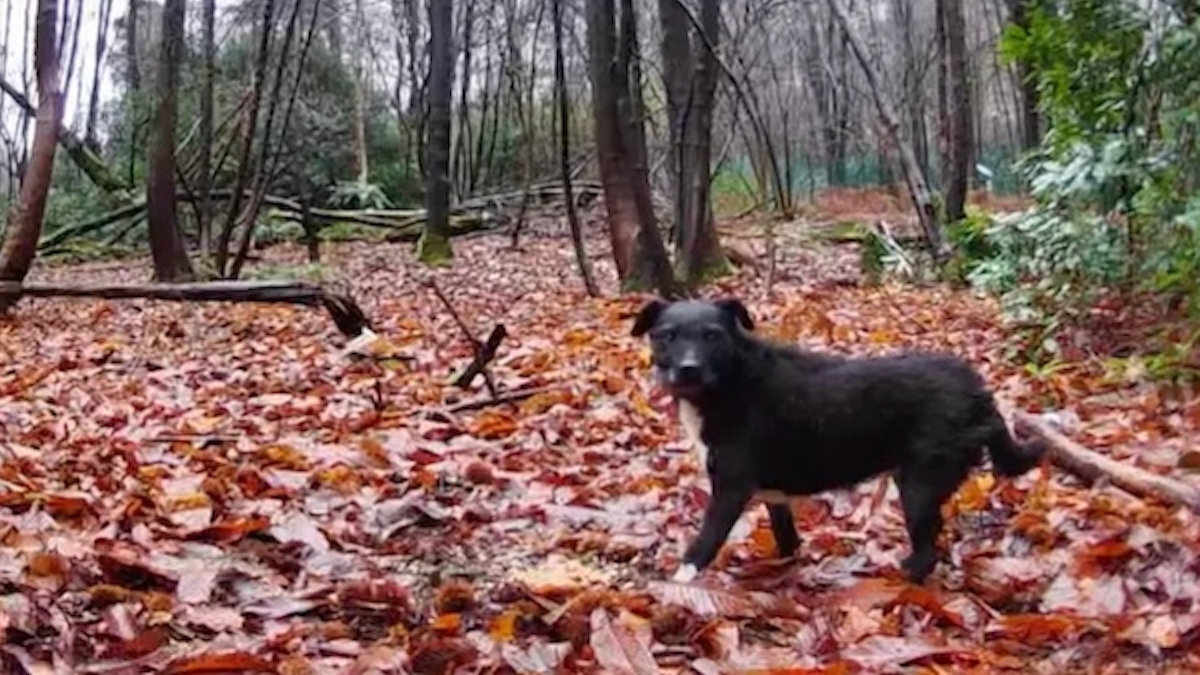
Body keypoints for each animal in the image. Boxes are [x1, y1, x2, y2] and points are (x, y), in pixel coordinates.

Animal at [633, 296, 1046, 581]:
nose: (688, 369)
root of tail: (978, 389)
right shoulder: (773, 497)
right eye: (666, 336)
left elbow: (701, 546)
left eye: (712, 336)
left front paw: (676, 587)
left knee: (927, 554)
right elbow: (787, 542)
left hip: (919, 485)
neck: (732, 383)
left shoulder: (731, 489)